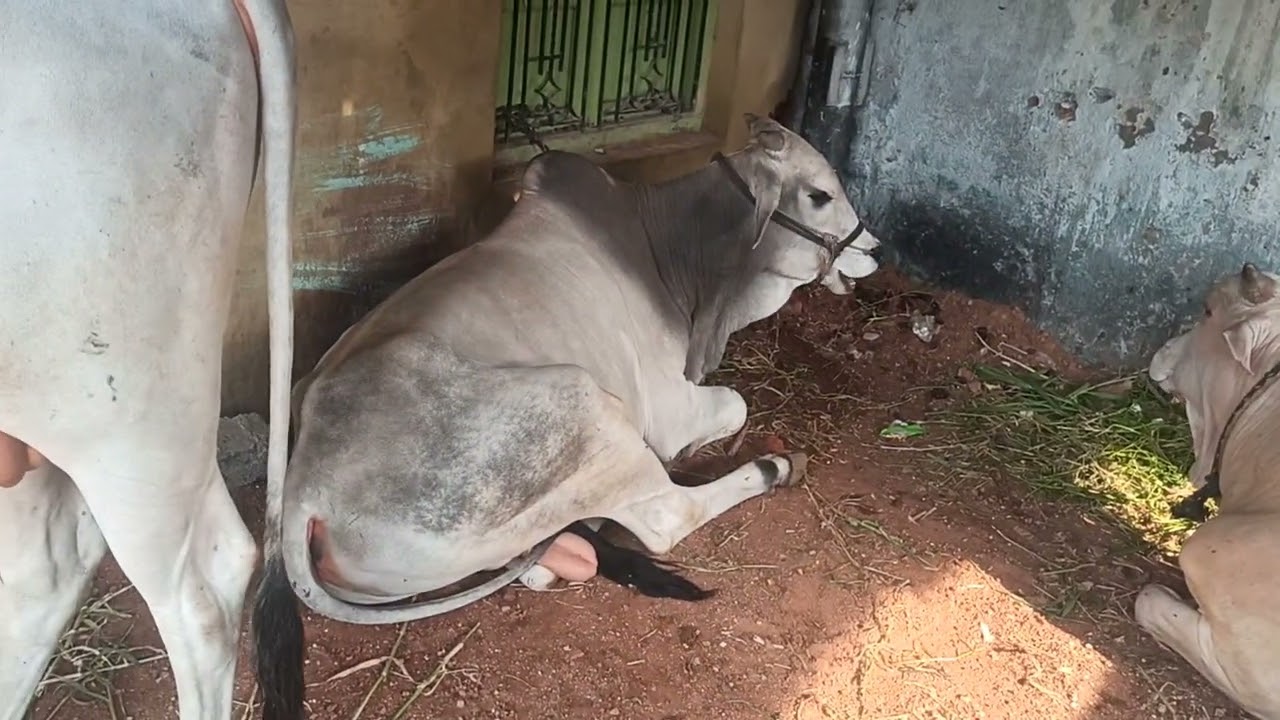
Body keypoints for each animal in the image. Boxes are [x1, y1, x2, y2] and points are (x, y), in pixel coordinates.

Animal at [250, 114, 882, 719]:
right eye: (820, 194)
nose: (874, 249)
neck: (672, 256)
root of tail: (304, 490)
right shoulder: (670, 407)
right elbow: (734, 405)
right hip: (585, 406)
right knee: (666, 517)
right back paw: (773, 468)